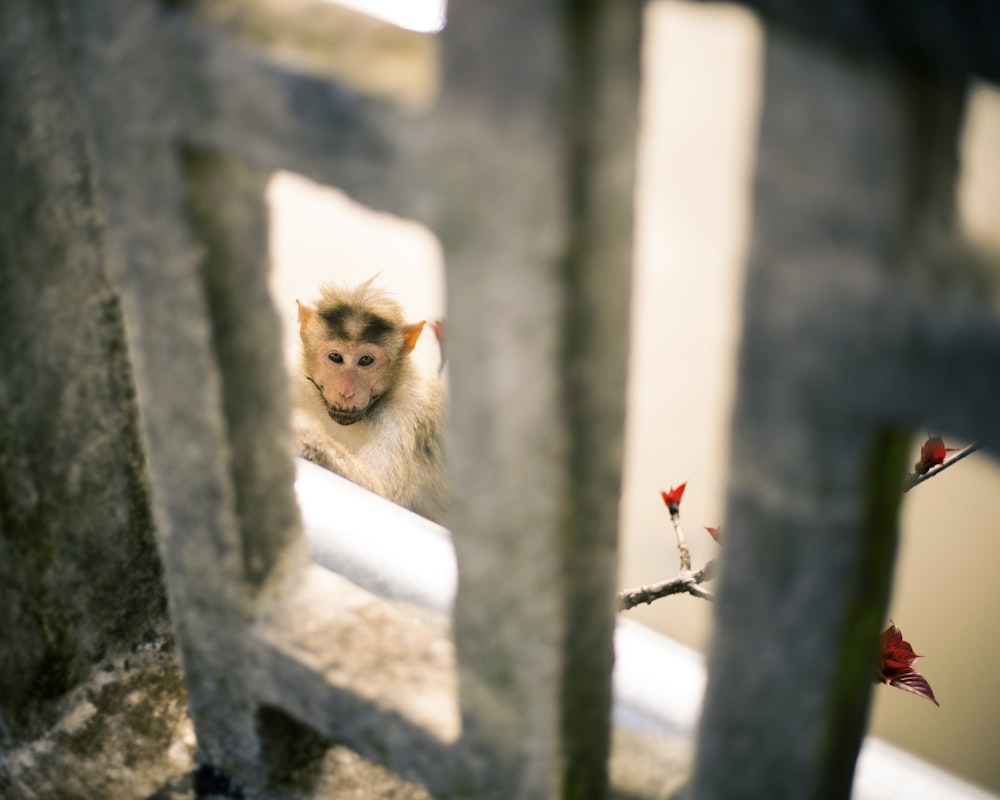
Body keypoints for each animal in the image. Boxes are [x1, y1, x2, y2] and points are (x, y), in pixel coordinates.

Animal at [290, 278, 446, 520]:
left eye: (365, 360)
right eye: (335, 356)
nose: (347, 392)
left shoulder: (408, 407)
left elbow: (379, 487)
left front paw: (301, 435)